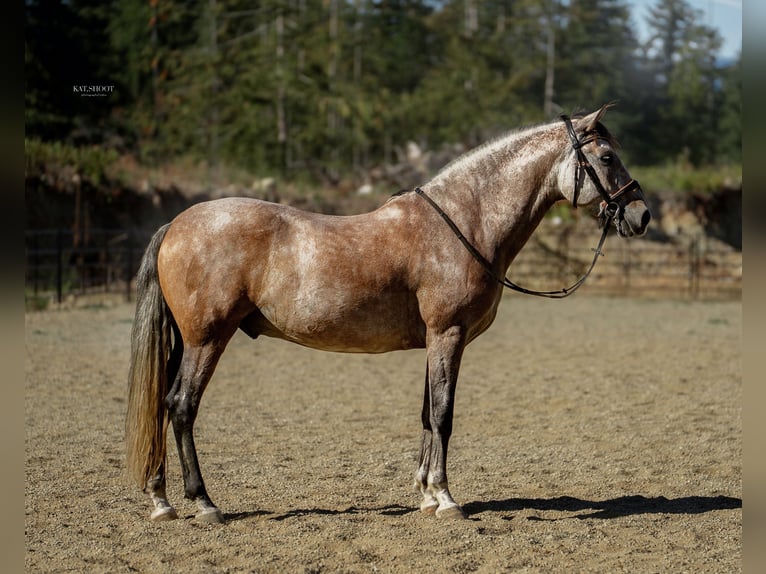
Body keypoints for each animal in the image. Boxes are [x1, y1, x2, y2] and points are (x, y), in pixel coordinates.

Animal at [125, 105, 651, 523]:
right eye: (606, 157)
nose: (640, 214)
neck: (466, 223)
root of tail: (177, 223)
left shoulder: (436, 340)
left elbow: (426, 413)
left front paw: (425, 495)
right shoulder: (448, 333)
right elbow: (443, 414)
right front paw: (446, 499)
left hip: (186, 341)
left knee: (162, 404)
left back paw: (161, 500)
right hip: (208, 339)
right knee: (181, 406)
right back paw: (204, 504)